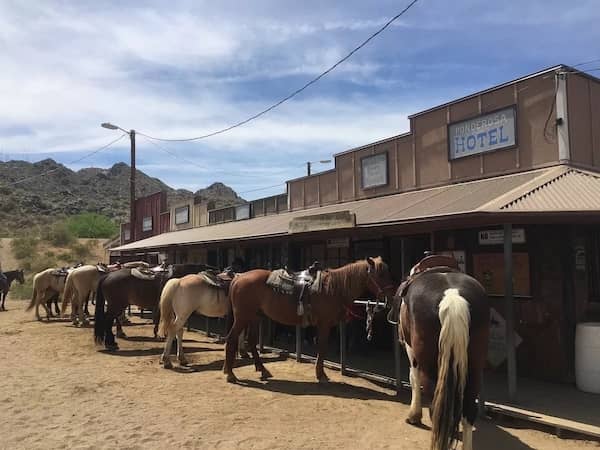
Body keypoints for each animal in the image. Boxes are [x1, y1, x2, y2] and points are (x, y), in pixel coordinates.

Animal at [223, 256, 396, 384]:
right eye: (381, 274)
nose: (392, 296)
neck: (333, 288)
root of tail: (238, 278)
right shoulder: (324, 324)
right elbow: (322, 347)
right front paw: (321, 375)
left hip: (254, 317)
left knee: (251, 341)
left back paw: (262, 370)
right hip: (243, 316)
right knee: (231, 338)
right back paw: (230, 374)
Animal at [396, 255, 490, 450]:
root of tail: (453, 300)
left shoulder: (412, 352)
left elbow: (413, 377)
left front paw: (414, 415)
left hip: (431, 369)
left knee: (436, 411)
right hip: (474, 367)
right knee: (468, 410)